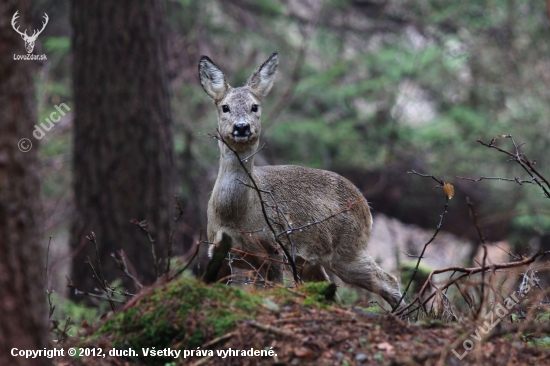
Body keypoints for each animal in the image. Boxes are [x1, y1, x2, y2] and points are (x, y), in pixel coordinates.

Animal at [199, 52, 406, 308]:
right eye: (225, 107)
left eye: (255, 106)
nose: (242, 127)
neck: (235, 214)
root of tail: (365, 205)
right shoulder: (219, 253)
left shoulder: (273, 250)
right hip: (310, 261)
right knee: (334, 294)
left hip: (348, 249)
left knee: (389, 281)